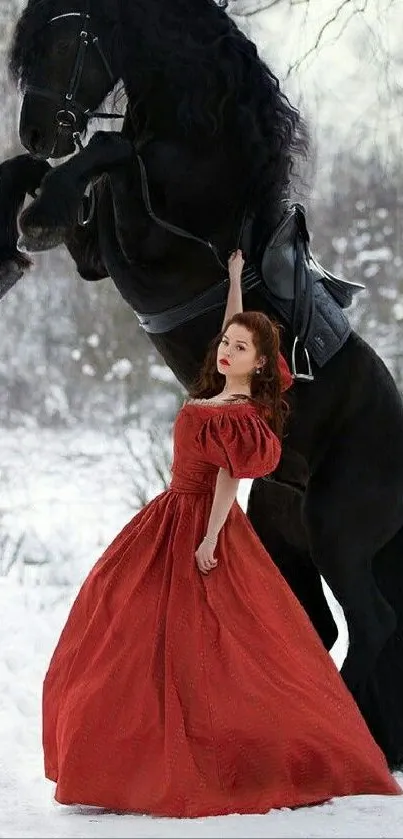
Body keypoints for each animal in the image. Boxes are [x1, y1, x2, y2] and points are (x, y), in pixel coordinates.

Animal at [2, 0, 403, 768]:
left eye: (64, 41)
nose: (36, 127)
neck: (204, 146)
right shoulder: (102, 255)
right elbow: (76, 175)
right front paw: (31, 204)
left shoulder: (155, 239)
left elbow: (111, 153)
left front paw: (38, 210)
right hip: (284, 523)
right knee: (323, 621)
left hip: (338, 531)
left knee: (373, 627)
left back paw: (361, 742)